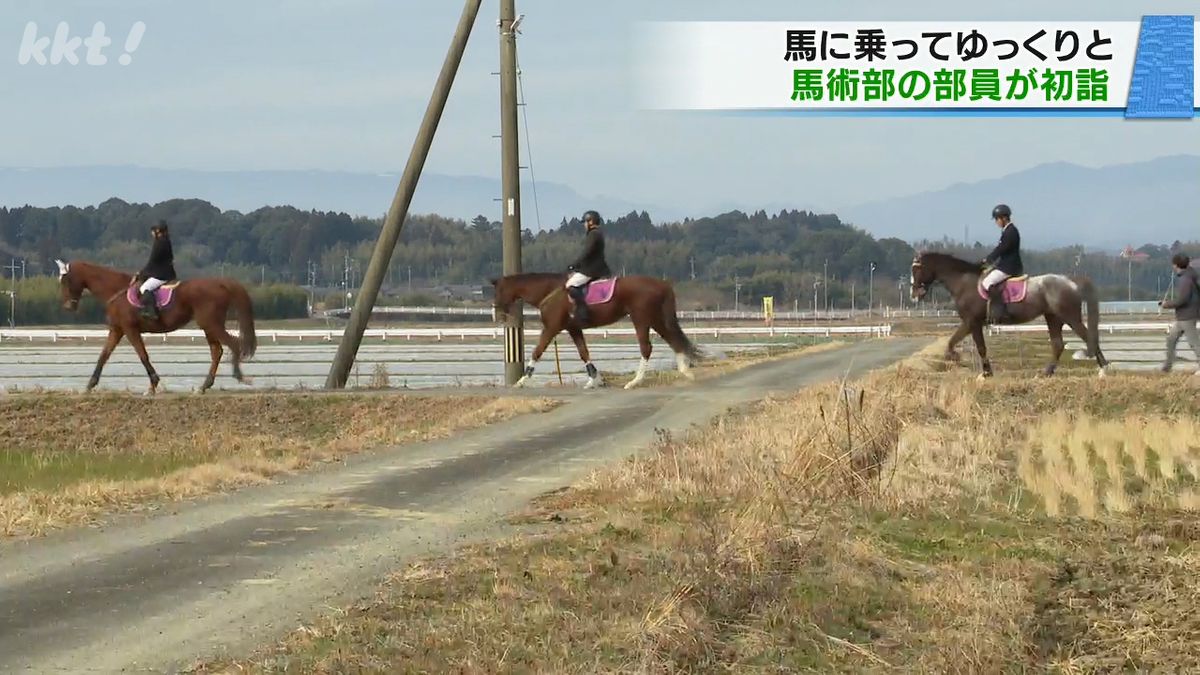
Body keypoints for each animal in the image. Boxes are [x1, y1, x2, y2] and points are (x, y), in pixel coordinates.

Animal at [55, 258, 258, 393]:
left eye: (65, 280)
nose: (67, 306)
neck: (116, 290)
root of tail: (221, 283)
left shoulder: (130, 329)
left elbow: (142, 355)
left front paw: (153, 384)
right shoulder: (117, 330)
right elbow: (103, 356)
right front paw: (90, 384)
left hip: (211, 324)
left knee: (233, 344)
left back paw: (239, 377)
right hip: (208, 326)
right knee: (217, 351)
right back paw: (204, 386)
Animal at [489, 271, 700, 389]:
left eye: (498, 291)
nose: (498, 315)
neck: (550, 291)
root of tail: (663, 283)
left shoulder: (551, 328)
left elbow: (537, 351)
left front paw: (522, 380)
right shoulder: (573, 329)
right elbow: (584, 353)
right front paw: (595, 380)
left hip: (642, 318)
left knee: (647, 347)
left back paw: (635, 382)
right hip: (655, 319)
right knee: (673, 339)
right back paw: (685, 371)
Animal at [907, 251, 1104, 379]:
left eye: (917, 270)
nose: (914, 295)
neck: (963, 282)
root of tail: (1071, 281)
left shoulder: (973, 321)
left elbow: (979, 347)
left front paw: (985, 372)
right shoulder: (969, 322)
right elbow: (953, 340)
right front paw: (955, 357)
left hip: (1070, 317)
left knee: (1088, 337)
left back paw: (1103, 369)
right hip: (1053, 318)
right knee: (1058, 344)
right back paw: (1046, 373)